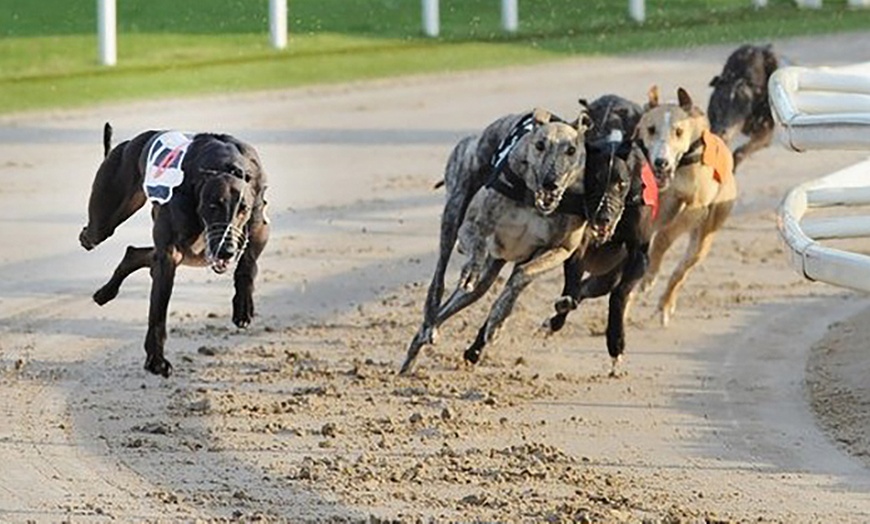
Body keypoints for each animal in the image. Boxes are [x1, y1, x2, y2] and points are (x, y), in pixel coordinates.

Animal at [79, 123, 270, 376]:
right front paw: (156, 361)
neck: (225, 164)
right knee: (92, 236)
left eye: (243, 209)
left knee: (136, 253)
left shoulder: (259, 224)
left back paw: (106, 292)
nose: (226, 250)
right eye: (213, 205)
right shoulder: (170, 254)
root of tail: (127, 143)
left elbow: (247, 264)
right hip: (104, 221)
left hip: (191, 252)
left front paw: (243, 307)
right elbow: (158, 312)